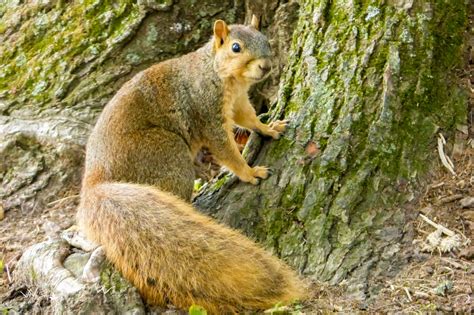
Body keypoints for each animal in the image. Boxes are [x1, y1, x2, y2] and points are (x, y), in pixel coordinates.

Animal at [74, 16, 304, 314]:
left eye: (266, 41)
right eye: (236, 47)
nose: (266, 66)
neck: (223, 76)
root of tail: (95, 182)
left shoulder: (239, 102)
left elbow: (249, 118)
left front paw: (269, 128)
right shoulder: (206, 112)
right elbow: (226, 150)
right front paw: (249, 172)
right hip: (168, 155)